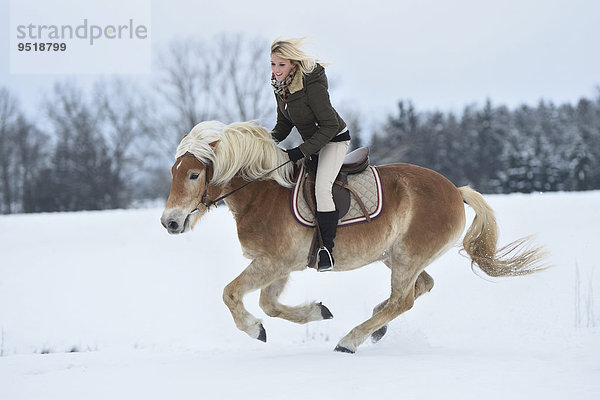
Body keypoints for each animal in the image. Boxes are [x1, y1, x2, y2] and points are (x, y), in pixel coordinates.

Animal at [161, 119, 548, 354]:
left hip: (406, 257)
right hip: (396, 256)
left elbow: (231, 294)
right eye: (174, 172)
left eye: (194, 174)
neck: (263, 192)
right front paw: (316, 312)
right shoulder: (279, 265)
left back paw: (351, 340)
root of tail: (455, 190)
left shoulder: (272, 262)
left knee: (402, 300)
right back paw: (375, 328)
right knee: (419, 288)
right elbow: (269, 304)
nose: (170, 223)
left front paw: (253, 329)